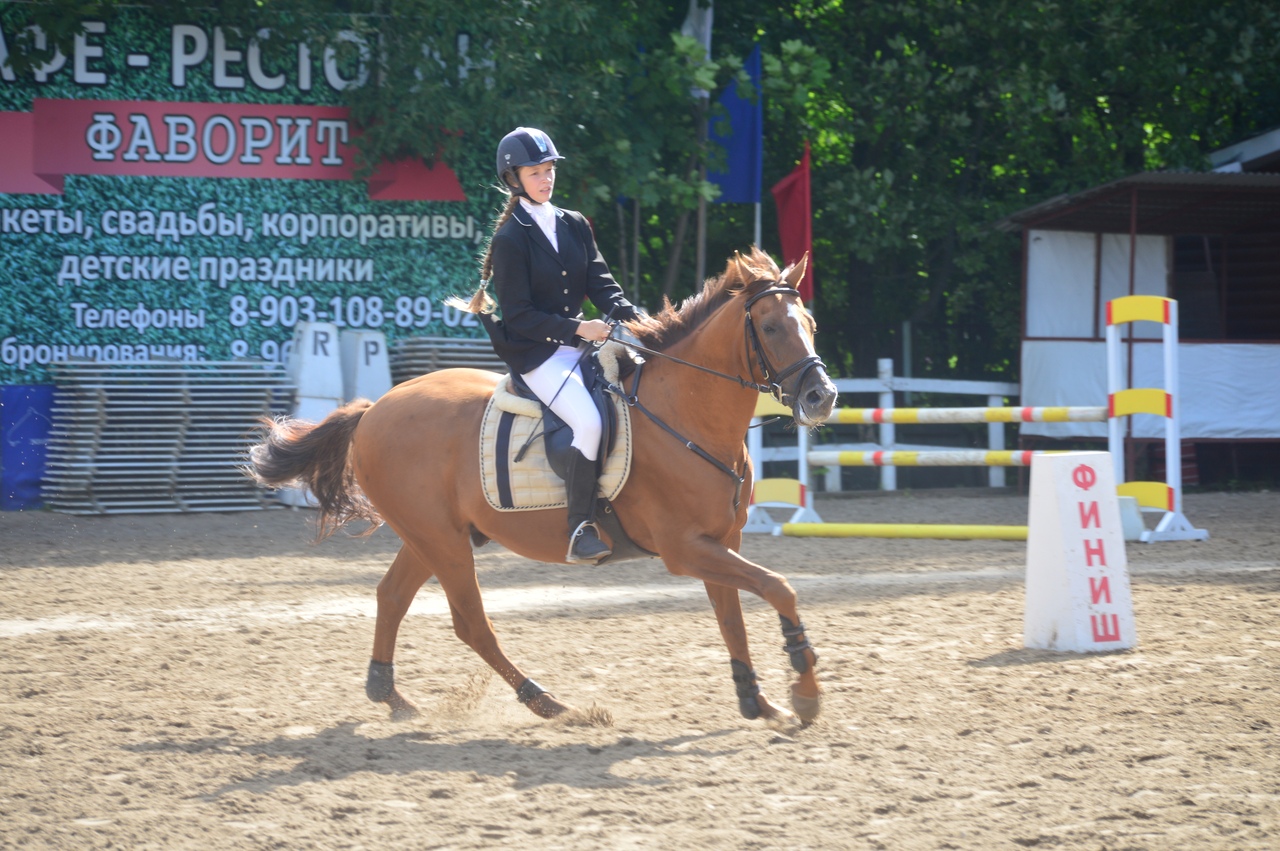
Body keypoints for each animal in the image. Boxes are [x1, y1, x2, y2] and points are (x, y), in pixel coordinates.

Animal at [247, 246, 839, 721]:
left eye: (810, 322)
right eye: (770, 327)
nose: (822, 397)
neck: (685, 414)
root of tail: (374, 410)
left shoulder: (720, 541)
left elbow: (733, 617)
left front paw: (758, 701)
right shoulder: (684, 548)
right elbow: (778, 588)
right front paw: (805, 692)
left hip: (429, 537)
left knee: (392, 596)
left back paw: (390, 696)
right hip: (441, 541)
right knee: (470, 622)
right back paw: (547, 701)